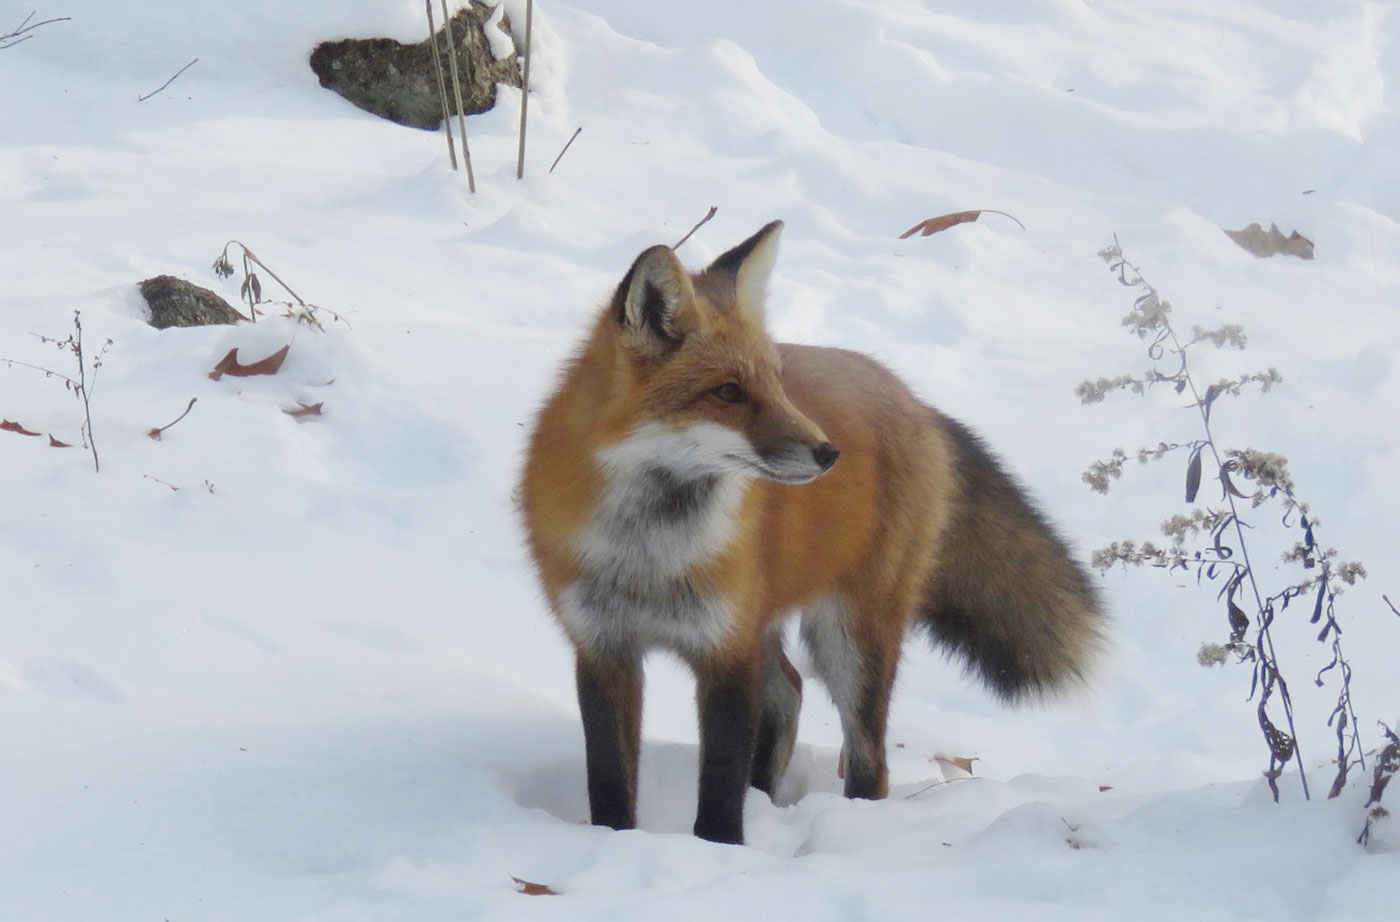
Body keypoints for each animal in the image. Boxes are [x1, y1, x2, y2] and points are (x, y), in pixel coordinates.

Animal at [520, 222, 1097, 845]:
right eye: (727, 392)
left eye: (776, 382)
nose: (828, 453)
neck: (651, 552)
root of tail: (912, 397)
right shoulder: (604, 648)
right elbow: (609, 780)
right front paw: (615, 841)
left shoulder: (726, 651)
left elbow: (719, 784)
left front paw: (721, 849)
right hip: (775, 624)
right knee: (790, 696)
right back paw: (765, 797)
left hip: (849, 637)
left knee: (868, 756)